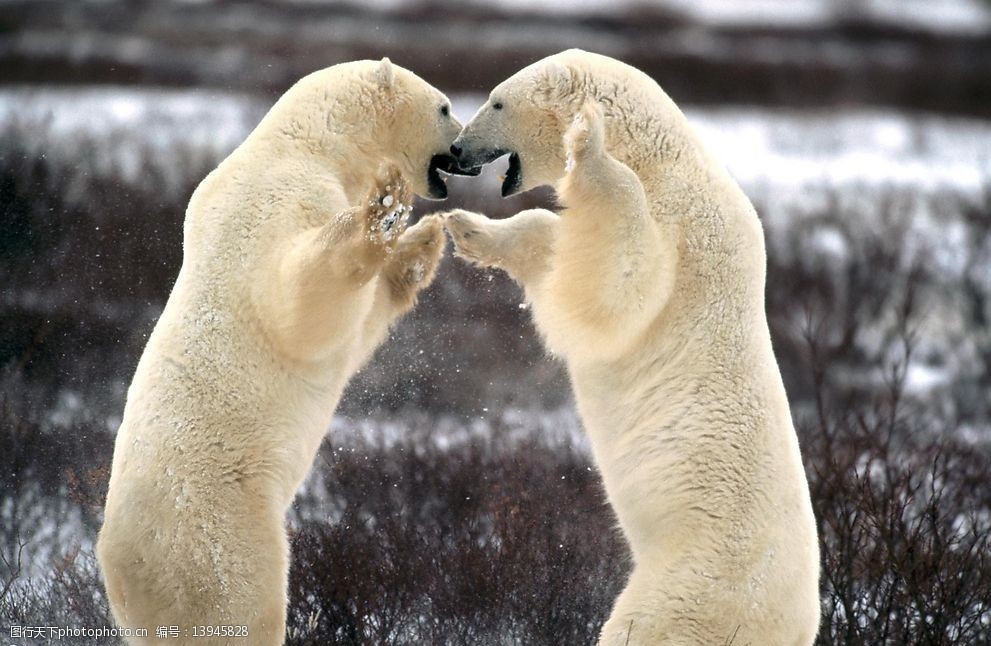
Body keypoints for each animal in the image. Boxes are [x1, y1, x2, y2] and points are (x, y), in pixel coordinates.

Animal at [97, 58, 468, 644]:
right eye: (445, 107)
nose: (463, 148)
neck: (309, 145)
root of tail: (118, 567)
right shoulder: (278, 202)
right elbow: (303, 305)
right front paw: (385, 208)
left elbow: (361, 323)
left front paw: (423, 241)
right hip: (216, 531)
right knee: (241, 603)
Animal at [442, 50, 820, 646]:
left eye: (497, 102)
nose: (457, 150)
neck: (664, 163)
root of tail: (794, 625)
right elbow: (558, 244)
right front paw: (469, 228)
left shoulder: (687, 236)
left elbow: (621, 284)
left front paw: (587, 141)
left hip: (693, 588)